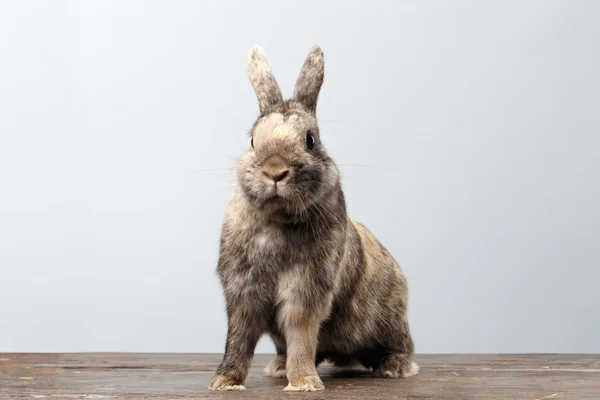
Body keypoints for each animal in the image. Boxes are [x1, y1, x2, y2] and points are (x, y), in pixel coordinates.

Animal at [207, 44, 418, 390]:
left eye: (310, 140)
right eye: (252, 139)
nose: (274, 171)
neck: (277, 219)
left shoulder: (306, 290)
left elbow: (302, 334)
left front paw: (304, 382)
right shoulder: (242, 293)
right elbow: (237, 338)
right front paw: (224, 382)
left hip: (391, 320)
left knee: (398, 346)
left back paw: (395, 367)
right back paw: (279, 366)